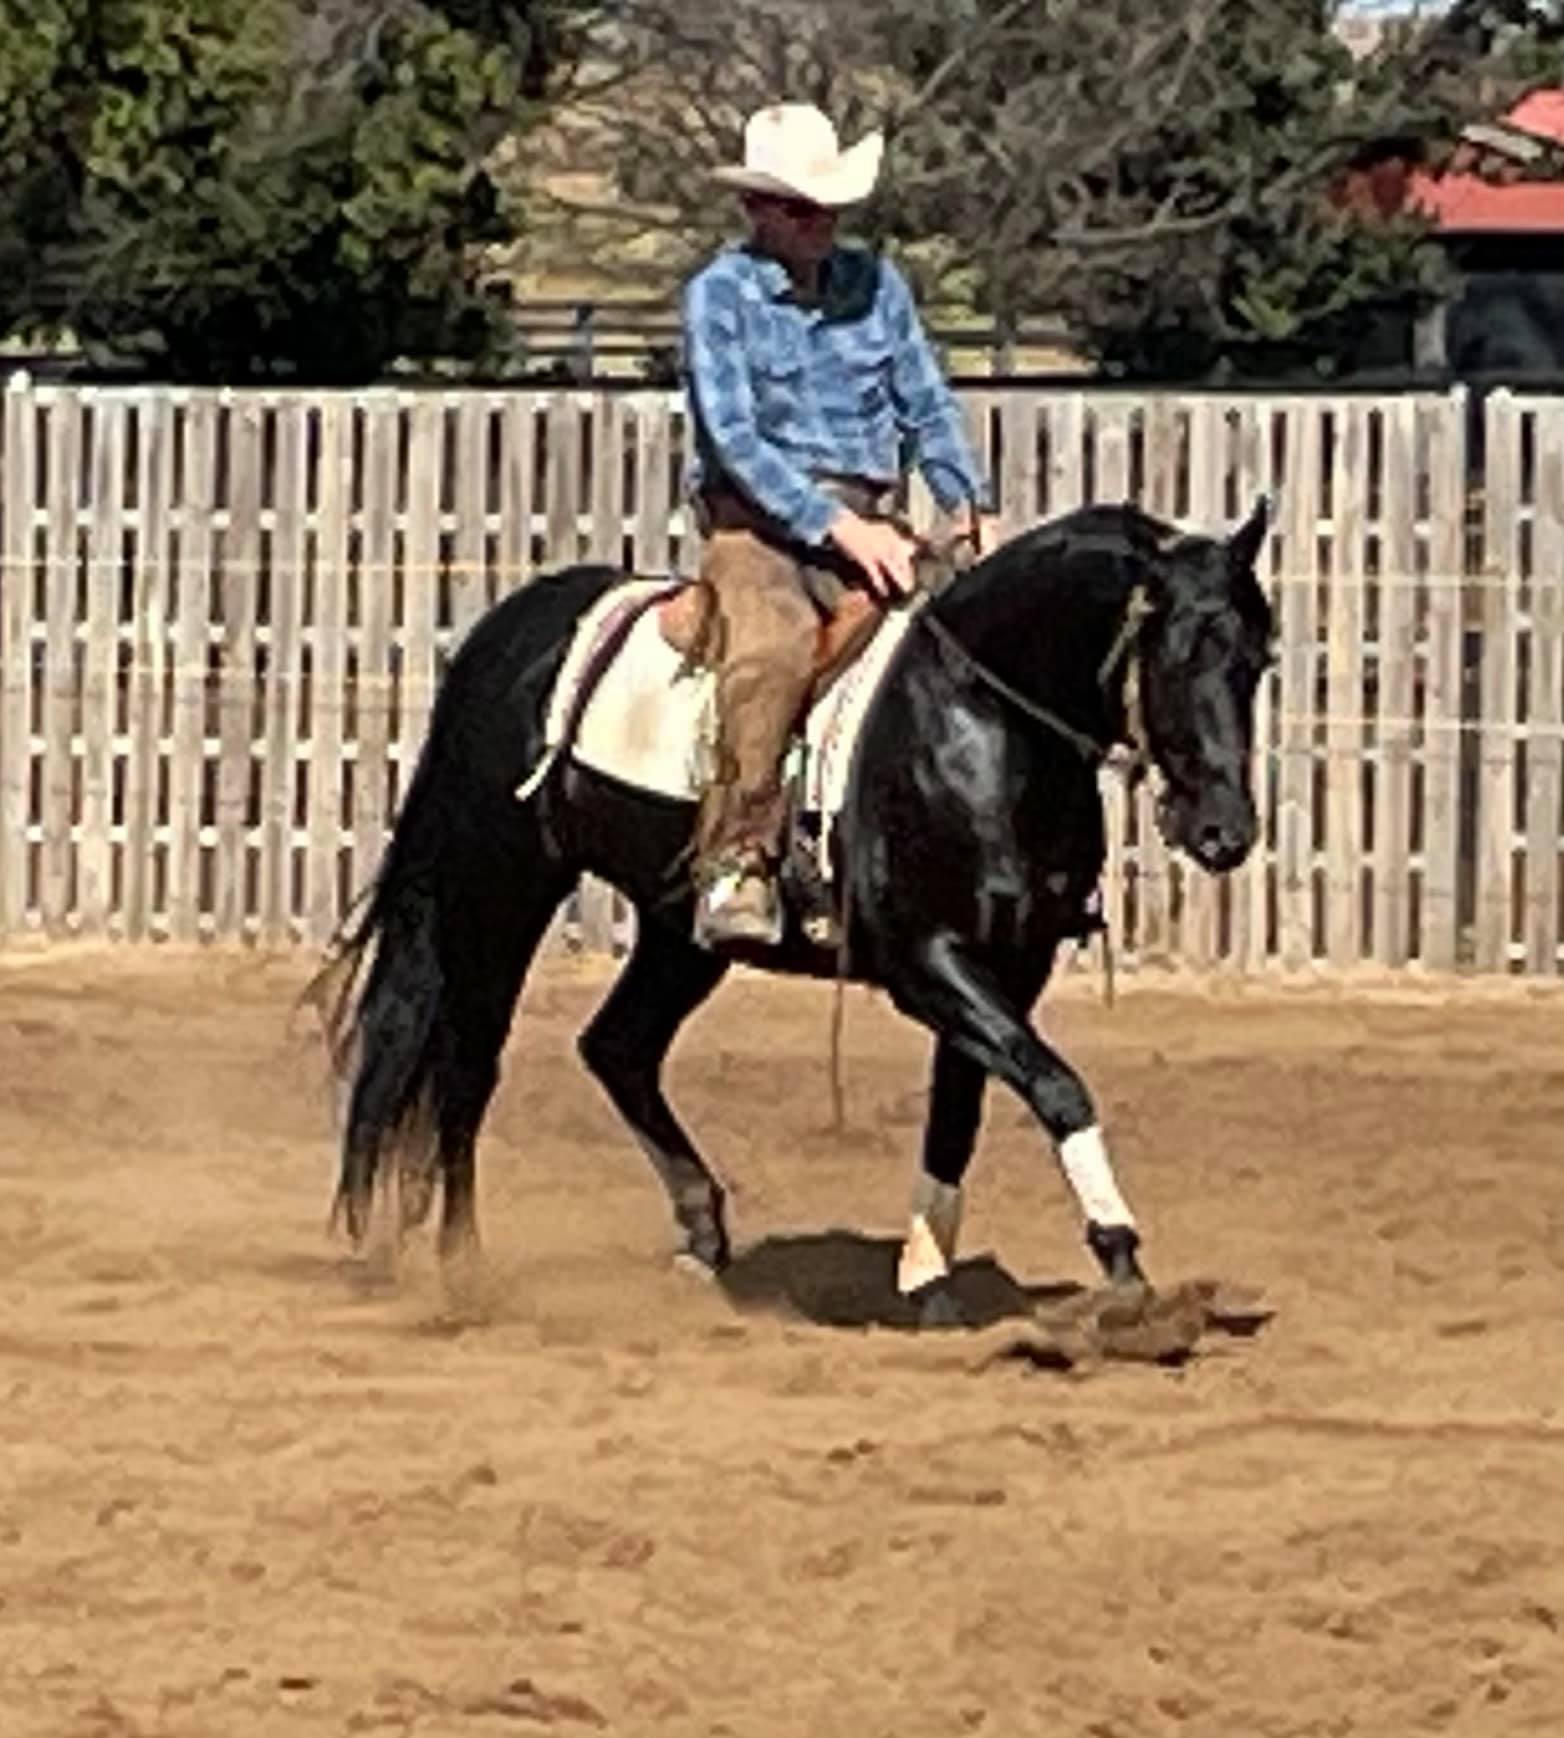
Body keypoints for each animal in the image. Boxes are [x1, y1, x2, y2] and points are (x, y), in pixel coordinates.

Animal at [310, 496, 1275, 1320]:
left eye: (1257, 661)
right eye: (1180, 651)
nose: (1225, 831)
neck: (976, 723)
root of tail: (513, 628)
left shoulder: (1006, 969)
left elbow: (959, 1113)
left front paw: (928, 1279)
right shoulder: (929, 964)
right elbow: (1058, 1087)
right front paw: (1121, 1257)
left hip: (680, 934)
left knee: (617, 1047)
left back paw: (702, 1233)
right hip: (497, 891)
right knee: (468, 1064)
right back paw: (465, 1268)